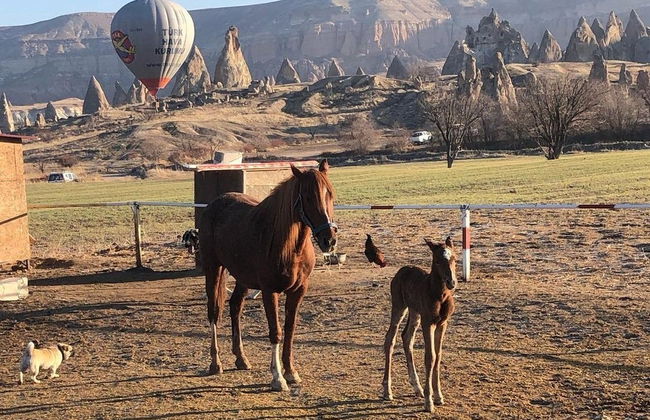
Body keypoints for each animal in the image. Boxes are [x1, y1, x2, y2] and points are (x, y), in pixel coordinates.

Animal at [199, 159, 337, 391]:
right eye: (308, 197)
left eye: (330, 195)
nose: (329, 239)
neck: (289, 246)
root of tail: (215, 204)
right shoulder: (269, 291)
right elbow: (276, 332)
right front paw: (278, 378)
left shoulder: (298, 291)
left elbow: (289, 330)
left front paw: (291, 372)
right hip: (213, 268)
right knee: (214, 312)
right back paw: (215, 363)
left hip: (242, 277)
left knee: (235, 306)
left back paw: (241, 358)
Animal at [382, 237, 457, 413]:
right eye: (437, 261)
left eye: (454, 259)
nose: (451, 282)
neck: (440, 295)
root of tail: (401, 271)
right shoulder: (428, 322)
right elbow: (430, 356)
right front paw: (429, 402)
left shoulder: (442, 323)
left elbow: (438, 356)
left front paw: (438, 396)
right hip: (399, 306)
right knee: (390, 339)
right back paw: (387, 390)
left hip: (414, 312)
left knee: (406, 337)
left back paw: (417, 387)